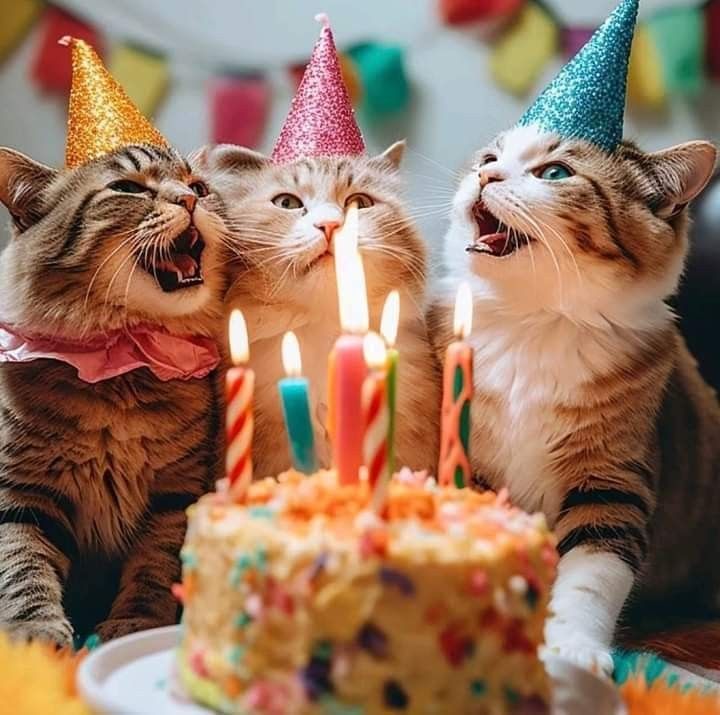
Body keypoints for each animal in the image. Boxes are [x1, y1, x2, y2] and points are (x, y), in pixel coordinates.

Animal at [434, 0, 720, 676]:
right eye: (489, 157)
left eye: (555, 171)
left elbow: (591, 575)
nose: (485, 175)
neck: (532, 323)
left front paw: (571, 646)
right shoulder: (472, 461)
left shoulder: (613, 477)